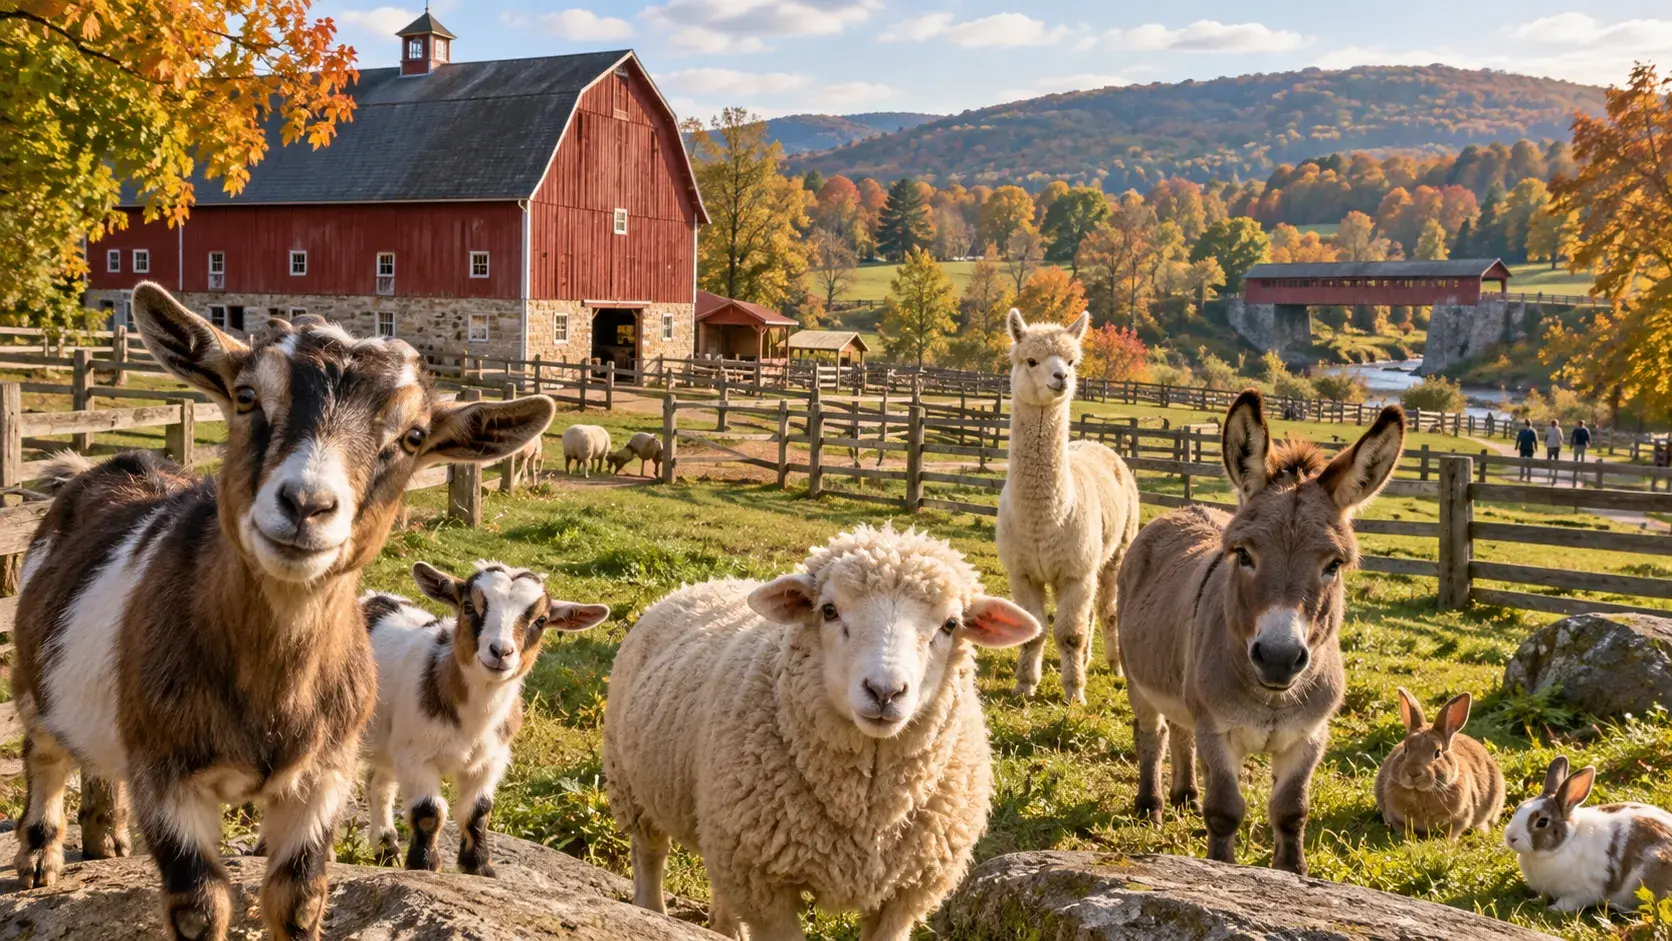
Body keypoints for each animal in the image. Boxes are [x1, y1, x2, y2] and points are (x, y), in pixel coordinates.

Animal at [8, 282, 554, 941]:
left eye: (413, 436)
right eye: (246, 396)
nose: (306, 504)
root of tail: (110, 465)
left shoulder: (322, 779)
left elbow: (298, 899)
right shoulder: (167, 774)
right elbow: (200, 906)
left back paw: (108, 838)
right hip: (33, 679)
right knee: (44, 753)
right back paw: (41, 858)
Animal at [360, 561, 608, 876]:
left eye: (540, 620)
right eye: (468, 606)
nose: (500, 652)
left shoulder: (490, 760)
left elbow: (477, 812)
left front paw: (479, 866)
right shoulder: (415, 756)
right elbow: (429, 811)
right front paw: (424, 866)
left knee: (378, 785)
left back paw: (385, 850)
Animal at [603, 523, 1040, 941]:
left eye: (950, 624)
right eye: (829, 611)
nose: (884, 691)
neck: (868, 815)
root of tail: (704, 583)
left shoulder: (904, 895)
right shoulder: (766, 889)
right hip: (630, 783)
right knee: (649, 855)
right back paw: (651, 913)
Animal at [1375, 688, 1504, 839]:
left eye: (1437, 753)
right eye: (1405, 749)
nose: (1413, 773)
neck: (1420, 793)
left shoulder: (1460, 817)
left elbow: (1451, 832)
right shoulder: (1396, 817)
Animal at [1506, 757, 1672, 912]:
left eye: (1542, 822)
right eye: (1518, 808)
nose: (1510, 838)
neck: (1566, 843)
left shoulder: (1585, 891)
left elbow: (1570, 901)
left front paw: (1554, 908)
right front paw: (1535, 900)